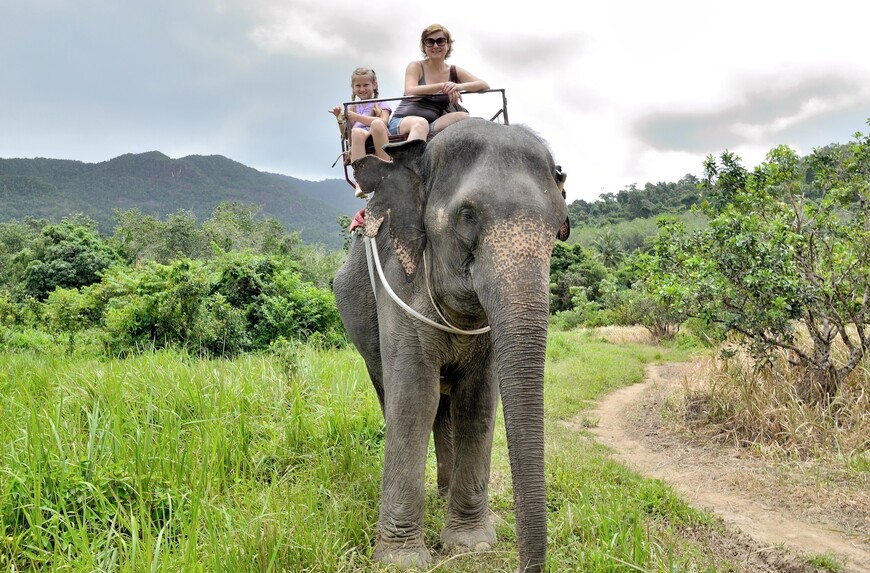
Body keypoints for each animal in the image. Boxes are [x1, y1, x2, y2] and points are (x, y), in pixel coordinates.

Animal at [334, 118, 572, 568]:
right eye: (467, 215)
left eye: (559, 227)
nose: (526, 567)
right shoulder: (399, 278)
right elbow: (413, 397)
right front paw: (402, 562)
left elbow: (477, 402)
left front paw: (471, 544)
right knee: (396, 395)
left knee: (446, 408)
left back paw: (444, 496)